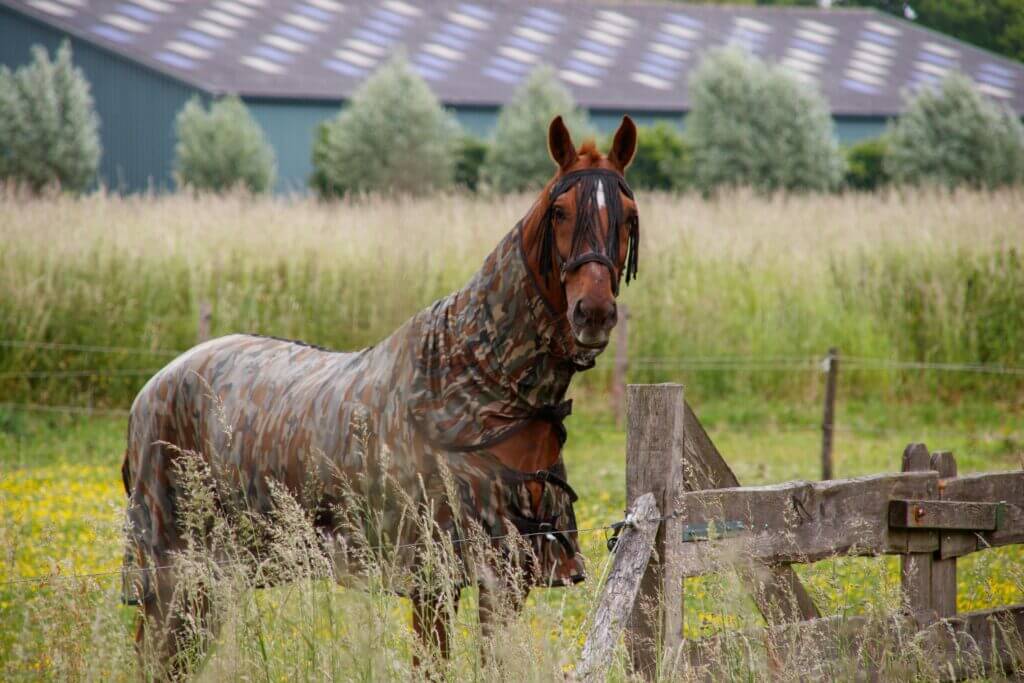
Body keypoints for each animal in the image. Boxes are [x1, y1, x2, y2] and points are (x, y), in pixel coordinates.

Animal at [121, 115, 639, 677]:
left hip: (210, 577)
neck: (475, 392)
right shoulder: (432, 577)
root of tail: (153, 387)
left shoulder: (508, 580)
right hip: (170, 569)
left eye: (629, 217)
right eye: (560, 211)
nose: (594, 312)